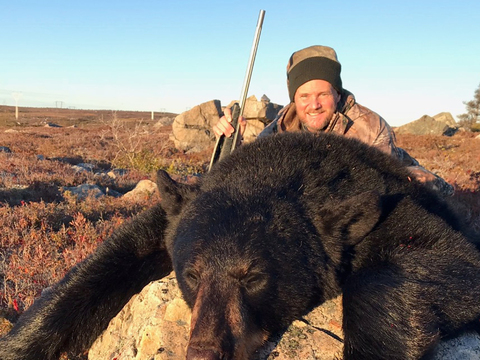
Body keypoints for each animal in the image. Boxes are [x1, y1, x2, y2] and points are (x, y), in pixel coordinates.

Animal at [0, 132, 480, 360]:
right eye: (191, 274)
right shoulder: (173, 216)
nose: (206, 353)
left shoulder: (386, 212)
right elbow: (98, 269)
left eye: (254, 277)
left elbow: (450, 260)